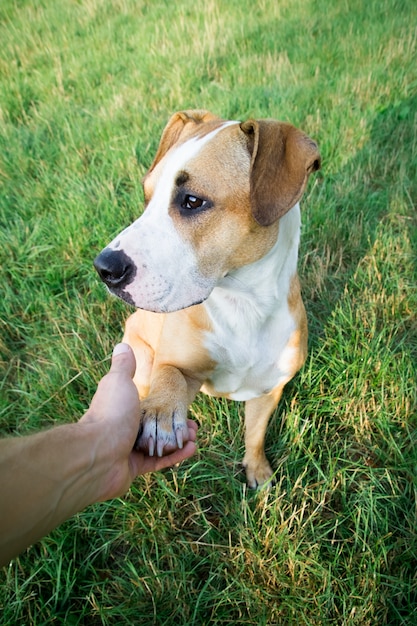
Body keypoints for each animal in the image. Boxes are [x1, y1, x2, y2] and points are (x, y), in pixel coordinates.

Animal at [94, 109, 320, 486]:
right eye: (147, 196)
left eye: (192, 201)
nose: (104, 267)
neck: (244, 306)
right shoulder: (180, 365)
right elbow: (170, 375)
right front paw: (160, 415)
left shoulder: (269, 389)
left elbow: (255, 434)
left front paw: (258, 471)